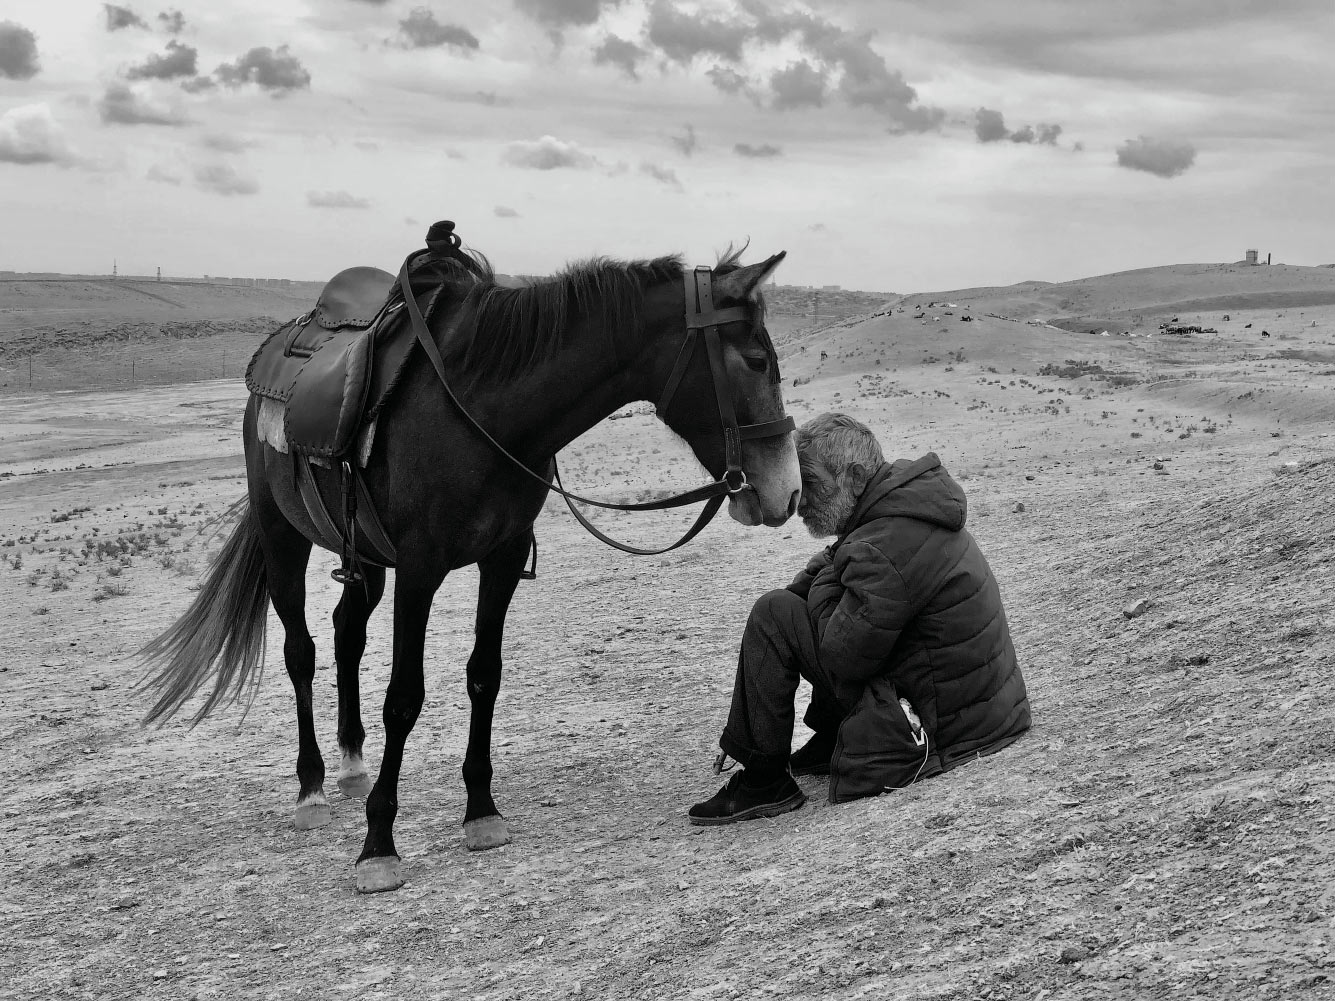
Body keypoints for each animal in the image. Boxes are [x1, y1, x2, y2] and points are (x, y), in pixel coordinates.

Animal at [140, 241, 795, 891]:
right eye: (758, 360)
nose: (784, 491)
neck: (483, 409)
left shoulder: (501, 559)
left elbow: (485, 675)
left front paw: (481, 811)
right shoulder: (420, 568)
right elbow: (404, 696)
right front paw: (379, 845)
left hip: (365, 557)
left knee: (347, 633)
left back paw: (352, 764)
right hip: (283, 537)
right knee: (300, 652)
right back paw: (313, 789)